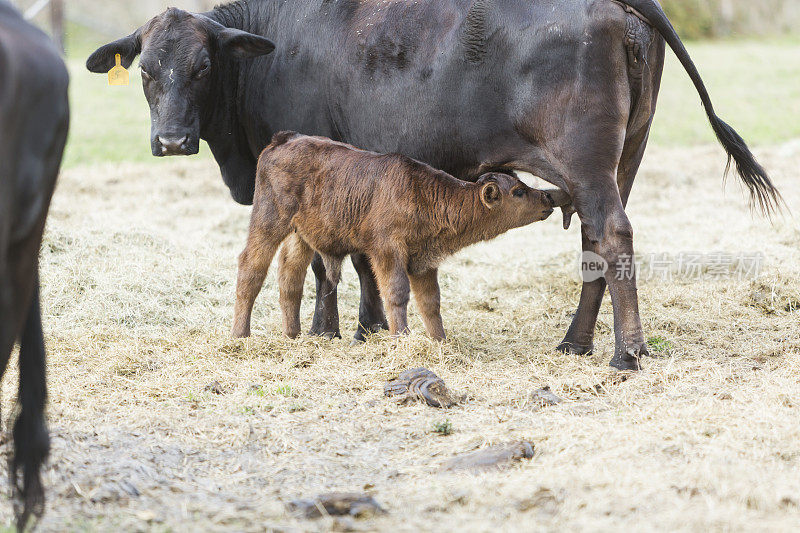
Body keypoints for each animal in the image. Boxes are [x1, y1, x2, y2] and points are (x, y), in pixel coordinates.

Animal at [231, 133, 556, 340]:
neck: (422, 194)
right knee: (251, 268)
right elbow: (397, 293)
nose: (548, 198)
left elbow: (431, 302)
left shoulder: (424, 261)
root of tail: (283, 139)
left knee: (290, 279)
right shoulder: (387, 251)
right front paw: (402, 337)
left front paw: (440, 341)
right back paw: (240, 335)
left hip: (300, 236)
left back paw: (293, 336)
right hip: (268, 222)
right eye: (518, 191)